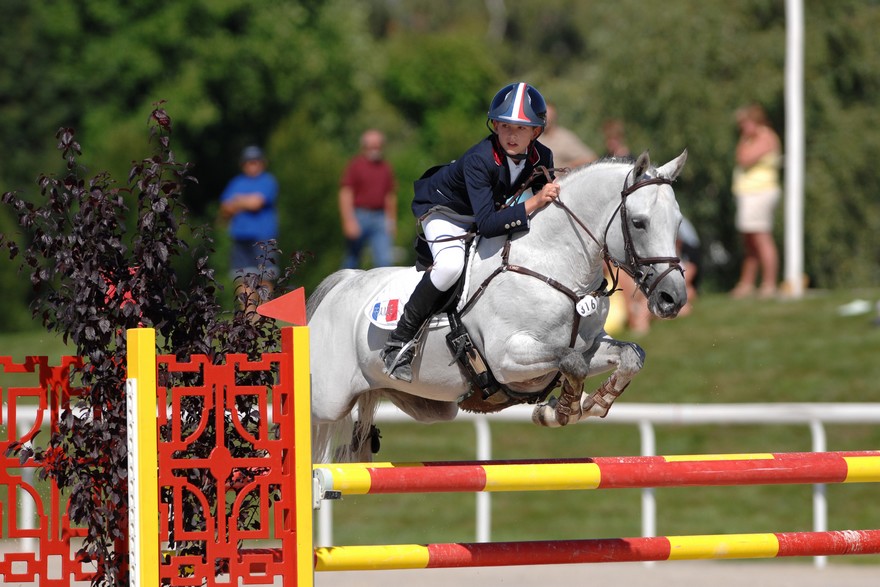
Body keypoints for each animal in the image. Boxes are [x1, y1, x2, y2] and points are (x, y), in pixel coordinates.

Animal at [310, 149, 688, 462]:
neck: (555, 267)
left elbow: (629, 356)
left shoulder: (591, 344)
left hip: (425, 403)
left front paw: (590, 404)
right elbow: (572, 362)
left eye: (679, 222)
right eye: (638, 222)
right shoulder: (507, 357)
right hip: (327, 400)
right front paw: (563, 408)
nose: (674, 299)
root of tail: (342, 283)